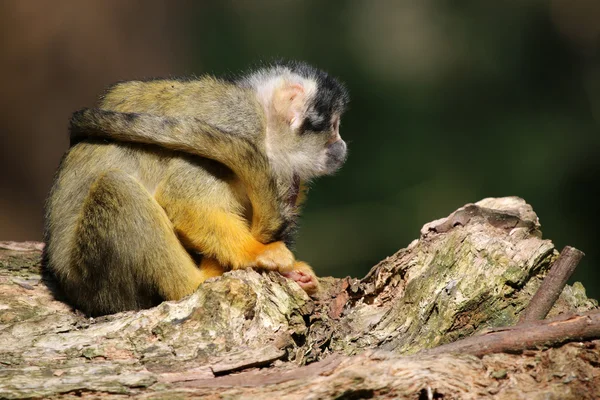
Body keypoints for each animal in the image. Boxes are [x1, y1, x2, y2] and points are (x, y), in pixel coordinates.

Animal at [44, 61, 350, 316]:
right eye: (334, 128)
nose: (341, 146)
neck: (266, 128)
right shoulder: (237, 120)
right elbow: (183, 199)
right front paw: (256, 252)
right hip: (94, 278)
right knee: (118, 188)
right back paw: (197, 282)